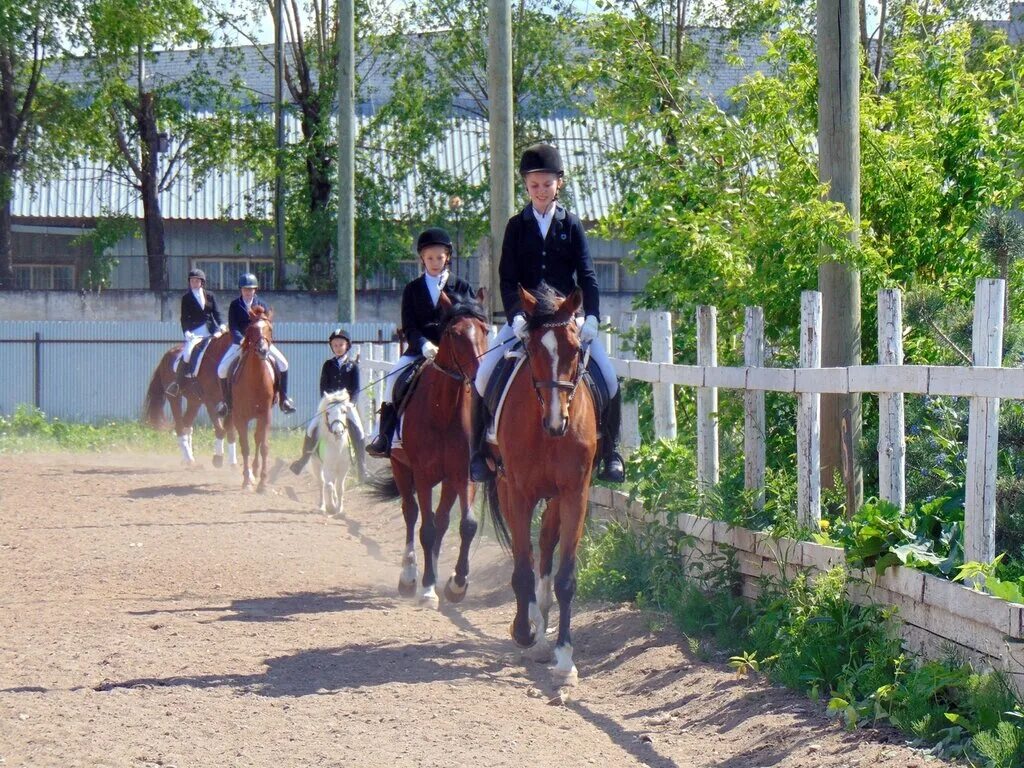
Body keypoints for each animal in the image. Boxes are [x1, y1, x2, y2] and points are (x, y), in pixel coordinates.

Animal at [142, 333, 237, 466]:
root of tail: (167, 354)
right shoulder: (210, 401)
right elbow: (220, 429)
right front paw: (218, 459)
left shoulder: (230, 404)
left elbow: (231, 431)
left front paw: (233, 463)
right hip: (175, 398)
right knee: (180, 427)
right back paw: (189, 459)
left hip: (194, 401)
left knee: (186, 425)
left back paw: (187, 458)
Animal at [231, 307, 278, 493]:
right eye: (250, 329)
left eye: (269, 329)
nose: (262, 351)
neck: (255, 379)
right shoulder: (239, 417)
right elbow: (245, 446)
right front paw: (247, 481)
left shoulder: (266, 415)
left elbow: (264, 446)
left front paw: (263, 483)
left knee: (258, 438)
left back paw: (256, 470)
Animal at [389, 286, 489, 606]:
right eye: (455, 334)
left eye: (484, 329)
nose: (479, 374)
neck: (443, 408)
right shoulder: (421, 473)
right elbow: (427, 527)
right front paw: (427, 587)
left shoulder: (465, 473)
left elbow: (466, 525)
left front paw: (457, 584)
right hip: (401, 468)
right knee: (411, 514)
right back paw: (409, 577)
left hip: (447, 479)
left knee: (443, 519)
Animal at [481, 286, 598, 688]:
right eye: (532, 350)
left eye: (575, 349)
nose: (555, 422)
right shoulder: (518, 493)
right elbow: (521, 568)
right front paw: (523, 631)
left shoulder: (575, 494)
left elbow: (565, 577)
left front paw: (565, 657)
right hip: (505, 486)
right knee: (530, 557)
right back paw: (532, 626)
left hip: (556, 499)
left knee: (546, 546)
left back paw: (544, 628)